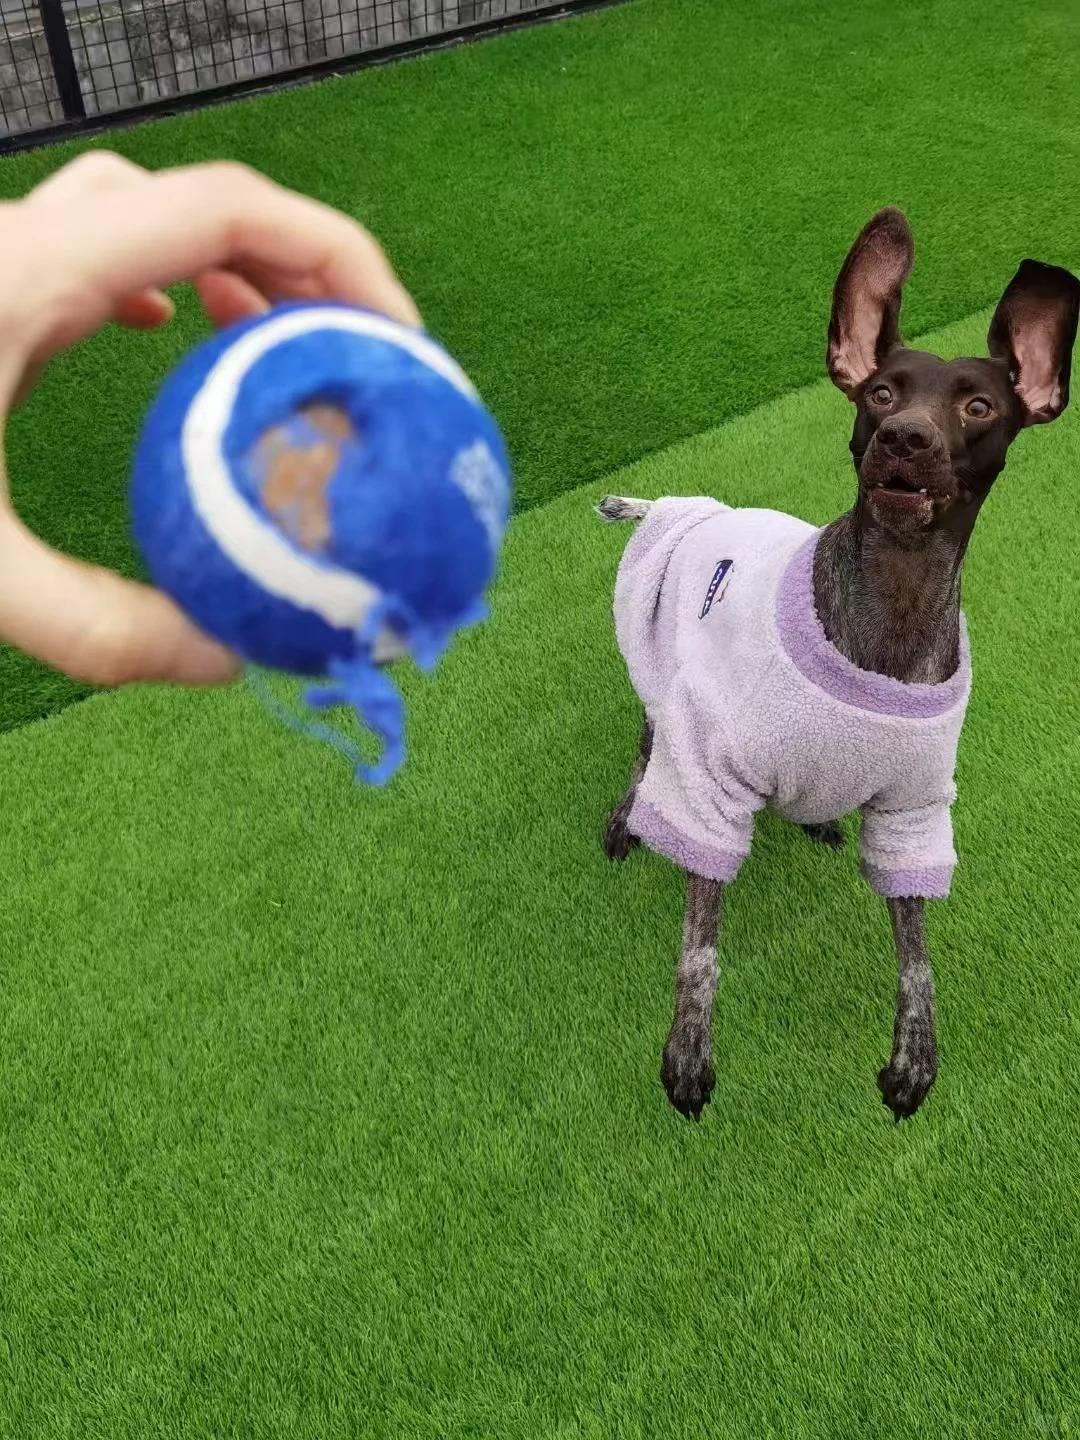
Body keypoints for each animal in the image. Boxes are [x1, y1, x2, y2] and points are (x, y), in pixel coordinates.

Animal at [599, 208, 1079, 1122]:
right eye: (881, 392)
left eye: (979, 405)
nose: (905, 438)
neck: (890, 613)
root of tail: (688, 506)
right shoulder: (710, 783)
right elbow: (701, 947)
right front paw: (688, 1053)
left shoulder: (914, 811)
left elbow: (918, 956)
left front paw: (916, 1057)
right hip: (660, 691)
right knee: (645, 757)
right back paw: (624, 818)